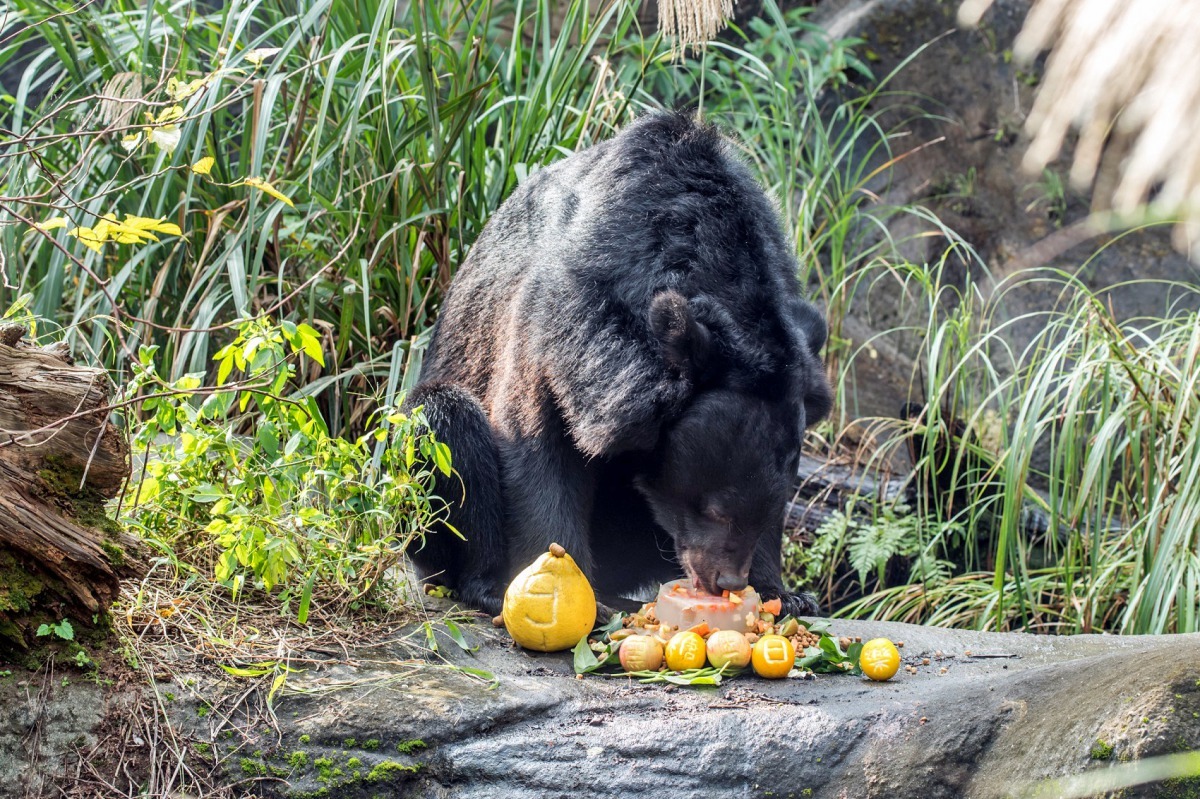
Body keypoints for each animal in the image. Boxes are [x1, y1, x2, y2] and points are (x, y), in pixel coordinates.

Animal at [404, 111, 832, 618]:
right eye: (713, 509)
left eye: (774, 506)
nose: (725, 581)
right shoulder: (558, 324)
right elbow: (538, 443)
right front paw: (571, 590)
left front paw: (783, 596)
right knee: (443, 422)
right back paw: (492, 586)